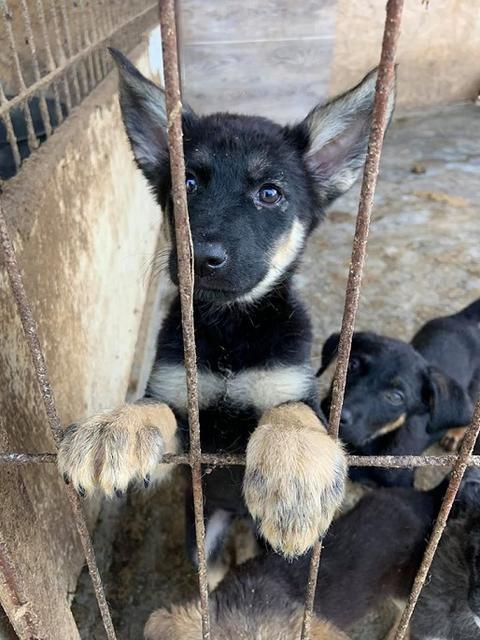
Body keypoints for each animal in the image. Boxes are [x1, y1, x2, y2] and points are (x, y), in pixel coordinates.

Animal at [57, 48, 398, 560]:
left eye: (270, 194)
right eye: (188, 184)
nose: (201, 257)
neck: (229, 331)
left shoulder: (294, 387)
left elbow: (290, 413)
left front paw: (294, 473)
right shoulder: (185, 437)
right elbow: (154, 406)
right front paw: (115, 427)